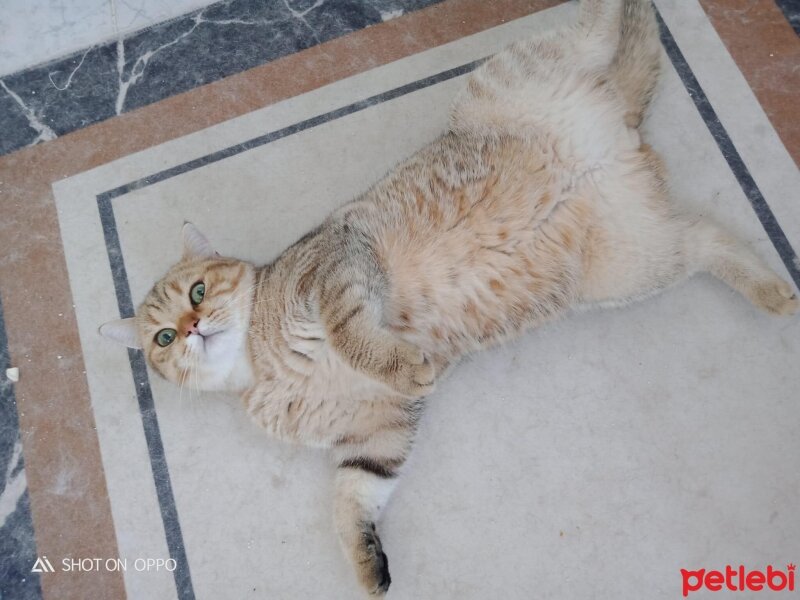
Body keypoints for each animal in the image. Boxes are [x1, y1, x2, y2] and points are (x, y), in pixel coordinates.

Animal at [103, 1, 796, 596]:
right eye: (163, 336)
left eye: (198, 290)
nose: (193, 327)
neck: (261, 371)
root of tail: (619, 130)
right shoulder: (377, 433)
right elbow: (349, 499)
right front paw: (365, 565)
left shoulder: (337, 268)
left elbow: (353, 335)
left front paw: (400, 361)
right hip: (635, 264)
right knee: (707, 237)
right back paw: (773, 291)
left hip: (519, 78)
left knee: (595, 24)